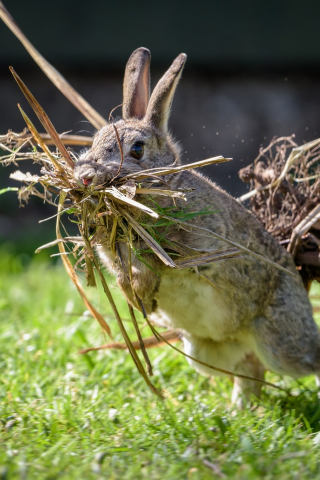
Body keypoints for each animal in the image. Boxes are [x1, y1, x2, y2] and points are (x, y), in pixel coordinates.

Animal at [74, 48, 320, 406]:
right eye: (93, 142)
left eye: (137, 149)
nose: (85, 177)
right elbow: (123, 275)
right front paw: (140, 301)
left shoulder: (198, 246)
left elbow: (160, 265)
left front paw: (144, 294)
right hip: (202, 352)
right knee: (250, 367)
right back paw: (242, 410)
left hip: (282, 344)